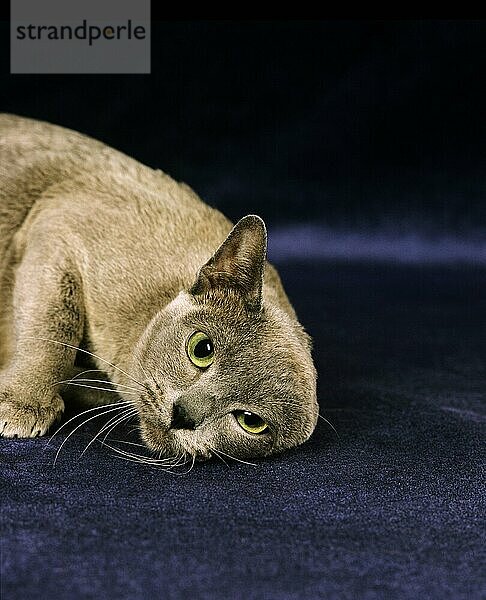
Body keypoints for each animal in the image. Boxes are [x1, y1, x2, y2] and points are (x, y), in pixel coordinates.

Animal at [0, 115, 318, 462]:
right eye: (201, 349)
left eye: (251, 421)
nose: (185, 415)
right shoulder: (58, 229)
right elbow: (54, 329)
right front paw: (23, 404)